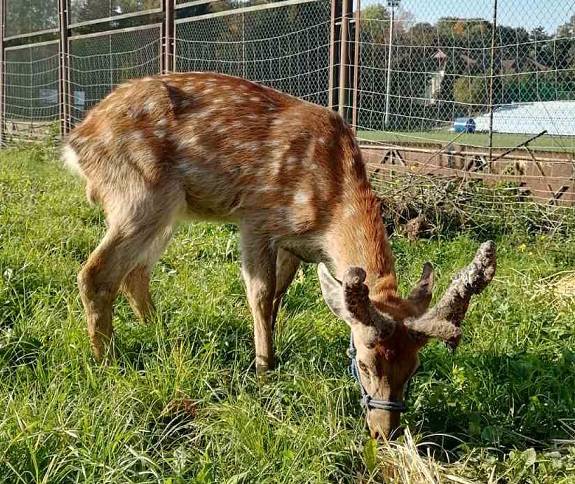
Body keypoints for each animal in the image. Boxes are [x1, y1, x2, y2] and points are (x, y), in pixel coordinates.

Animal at [62, 72, 496, 438]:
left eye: (415, 367)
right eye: (365, 362)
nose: (384, 432)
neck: (328, 209)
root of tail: (75, 141)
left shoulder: (294, 246)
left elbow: (278, 298)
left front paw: (272, 353)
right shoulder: (256, 217)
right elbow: (260, 294)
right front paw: (263, 369)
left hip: (168, 209)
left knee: (135, 273)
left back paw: (161, 335)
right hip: (140, 192)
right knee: (96, 273)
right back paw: (107, 362)